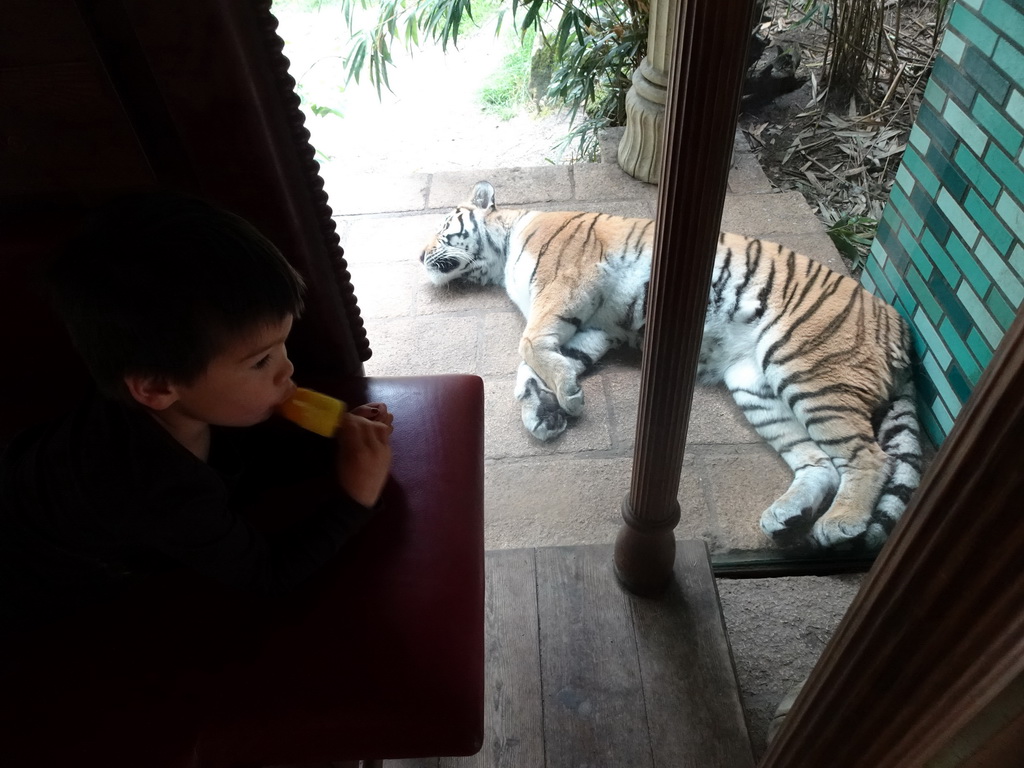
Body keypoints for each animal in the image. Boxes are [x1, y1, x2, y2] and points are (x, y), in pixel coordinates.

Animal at [419, 181, 925, 548]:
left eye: (443, 227)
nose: (420, 255)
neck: (501, 253)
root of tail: (900, 327)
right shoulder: (595, 326)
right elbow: (533, 366)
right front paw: (545, 411)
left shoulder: (566, 287)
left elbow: (528, 346)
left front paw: (565, 397)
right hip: (756, 386)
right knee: (820, 462)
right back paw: (787, 517)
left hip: (805, 367)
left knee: (869, 456)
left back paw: (840, 523)